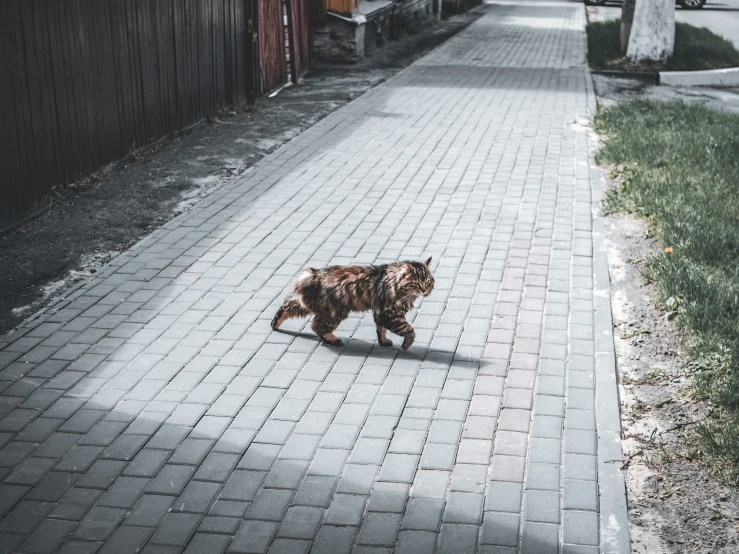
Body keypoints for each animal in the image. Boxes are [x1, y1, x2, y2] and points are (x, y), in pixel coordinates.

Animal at [270, 256, 434, 348]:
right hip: (334, 313)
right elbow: (409, 330)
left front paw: (383, 341)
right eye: (417, 284)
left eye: (428, 282)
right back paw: (334, 341)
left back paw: (275, 323)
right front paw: (407, 345)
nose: (424, 290)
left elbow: (381, 329)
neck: (395, 281)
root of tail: (314, 275)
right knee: (317, 326)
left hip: (312, 306)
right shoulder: (392, 314)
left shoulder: (380, 312)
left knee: (287, 306)